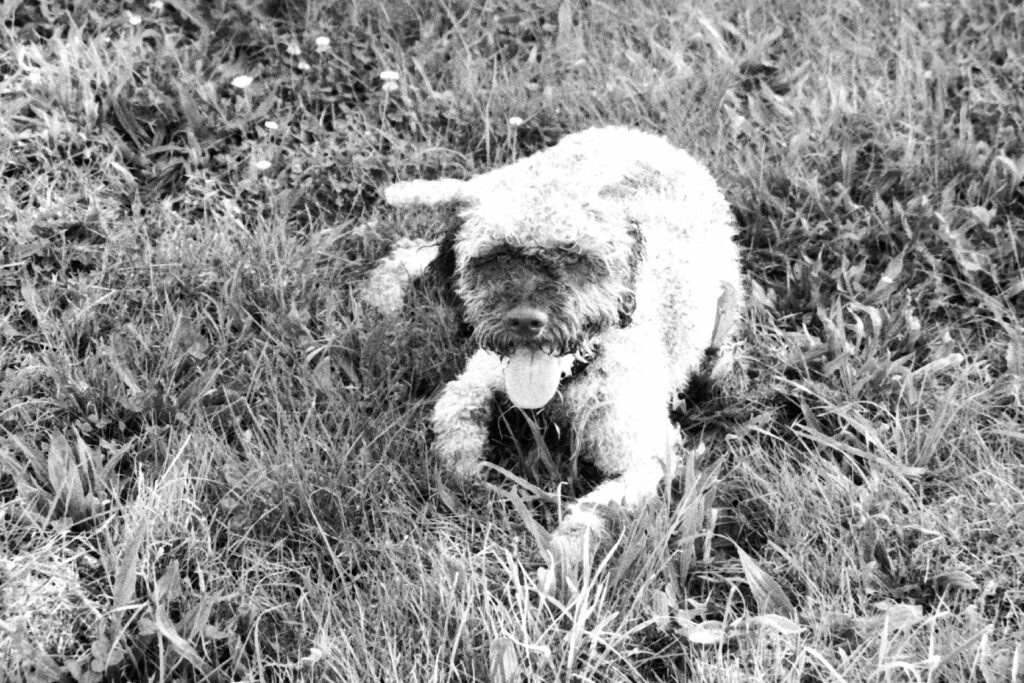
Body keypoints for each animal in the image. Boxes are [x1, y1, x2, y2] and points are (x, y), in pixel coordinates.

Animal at [372, 125, 741, 565]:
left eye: (575, 256)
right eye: (497, 255)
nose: (525, 320)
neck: (566, 385)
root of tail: (638, 134)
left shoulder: (647, 457)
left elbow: (593, 511)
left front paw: (559, 567)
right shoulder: (475, 379)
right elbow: (457, 418)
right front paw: (470, 475)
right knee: (411, 250)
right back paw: (383, 304)